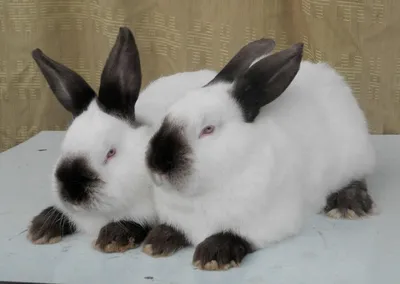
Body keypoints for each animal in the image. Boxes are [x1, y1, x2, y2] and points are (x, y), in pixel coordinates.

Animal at [143, 39, 376, 268]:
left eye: (208, 129)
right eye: (166, 116)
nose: (157, 163)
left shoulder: (268, 221)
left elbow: (236, 235)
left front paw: (213, 254)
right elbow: (172, 228)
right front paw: (155, 242)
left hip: (353, 157)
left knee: (358, 180)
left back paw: (348, 206)